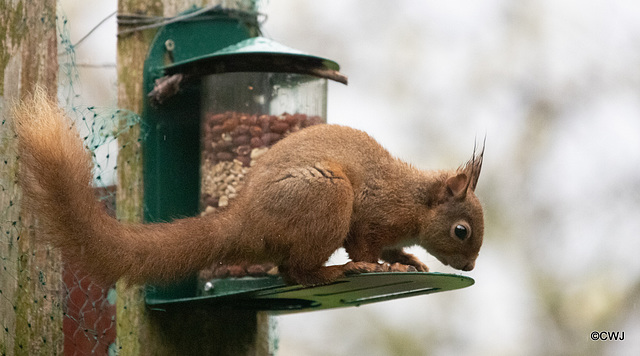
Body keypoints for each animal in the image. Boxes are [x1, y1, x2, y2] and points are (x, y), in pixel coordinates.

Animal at [12, 89, 484, 286]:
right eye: (461, 231)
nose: (470, 267)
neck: (416, 202)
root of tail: (246, 220)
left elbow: (394, 249)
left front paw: (409, 259)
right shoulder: (373, 214)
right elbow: (364, 244)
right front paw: (376, 265)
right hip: (327, 197)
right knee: (297, 272)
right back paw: (338, 272)